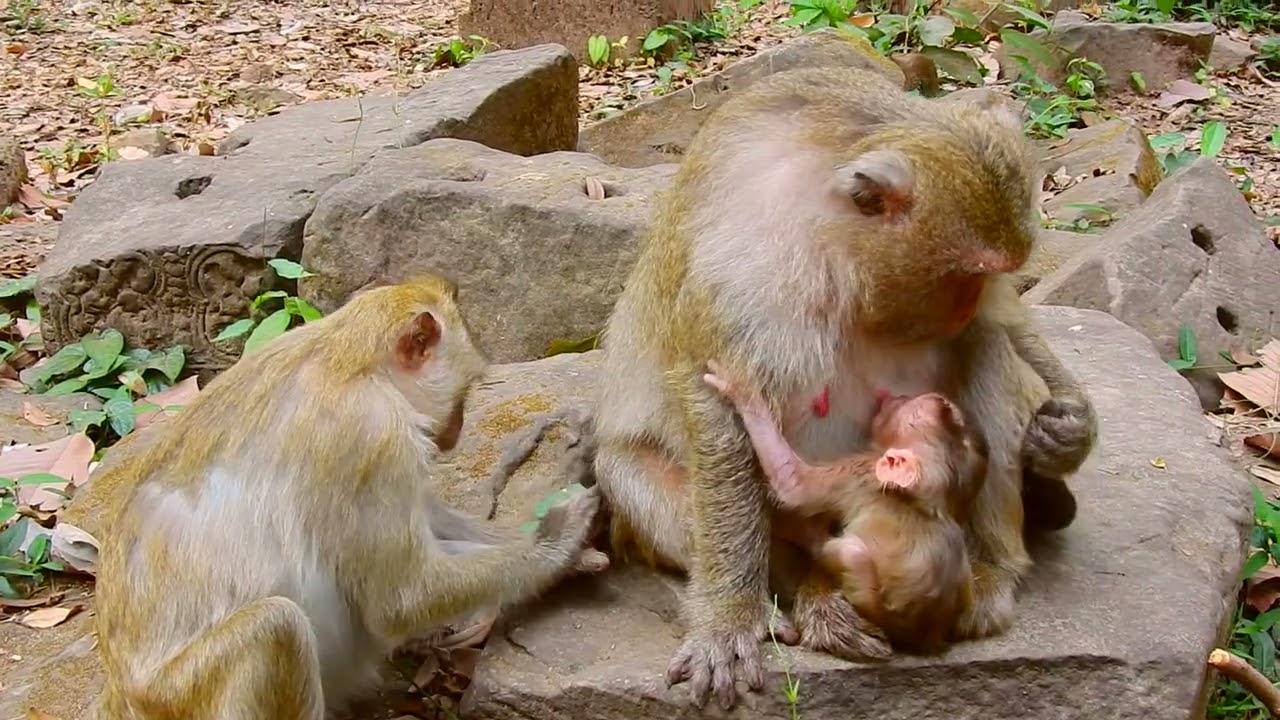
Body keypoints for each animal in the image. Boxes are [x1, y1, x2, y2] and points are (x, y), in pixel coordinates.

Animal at [92, 275, 607, 720]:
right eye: (463, 393)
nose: (454, 434)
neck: (347, 358)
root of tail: (119, 694)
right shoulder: (370, 435)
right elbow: (398, 599)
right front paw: (554, 545)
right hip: (181, 697)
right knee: (276, 627)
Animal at [703, 362, 988, 655]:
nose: (897, 397)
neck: (927, 498)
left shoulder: (859, 471)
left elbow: (793, 483)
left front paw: (742, 391)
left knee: (848, 551)